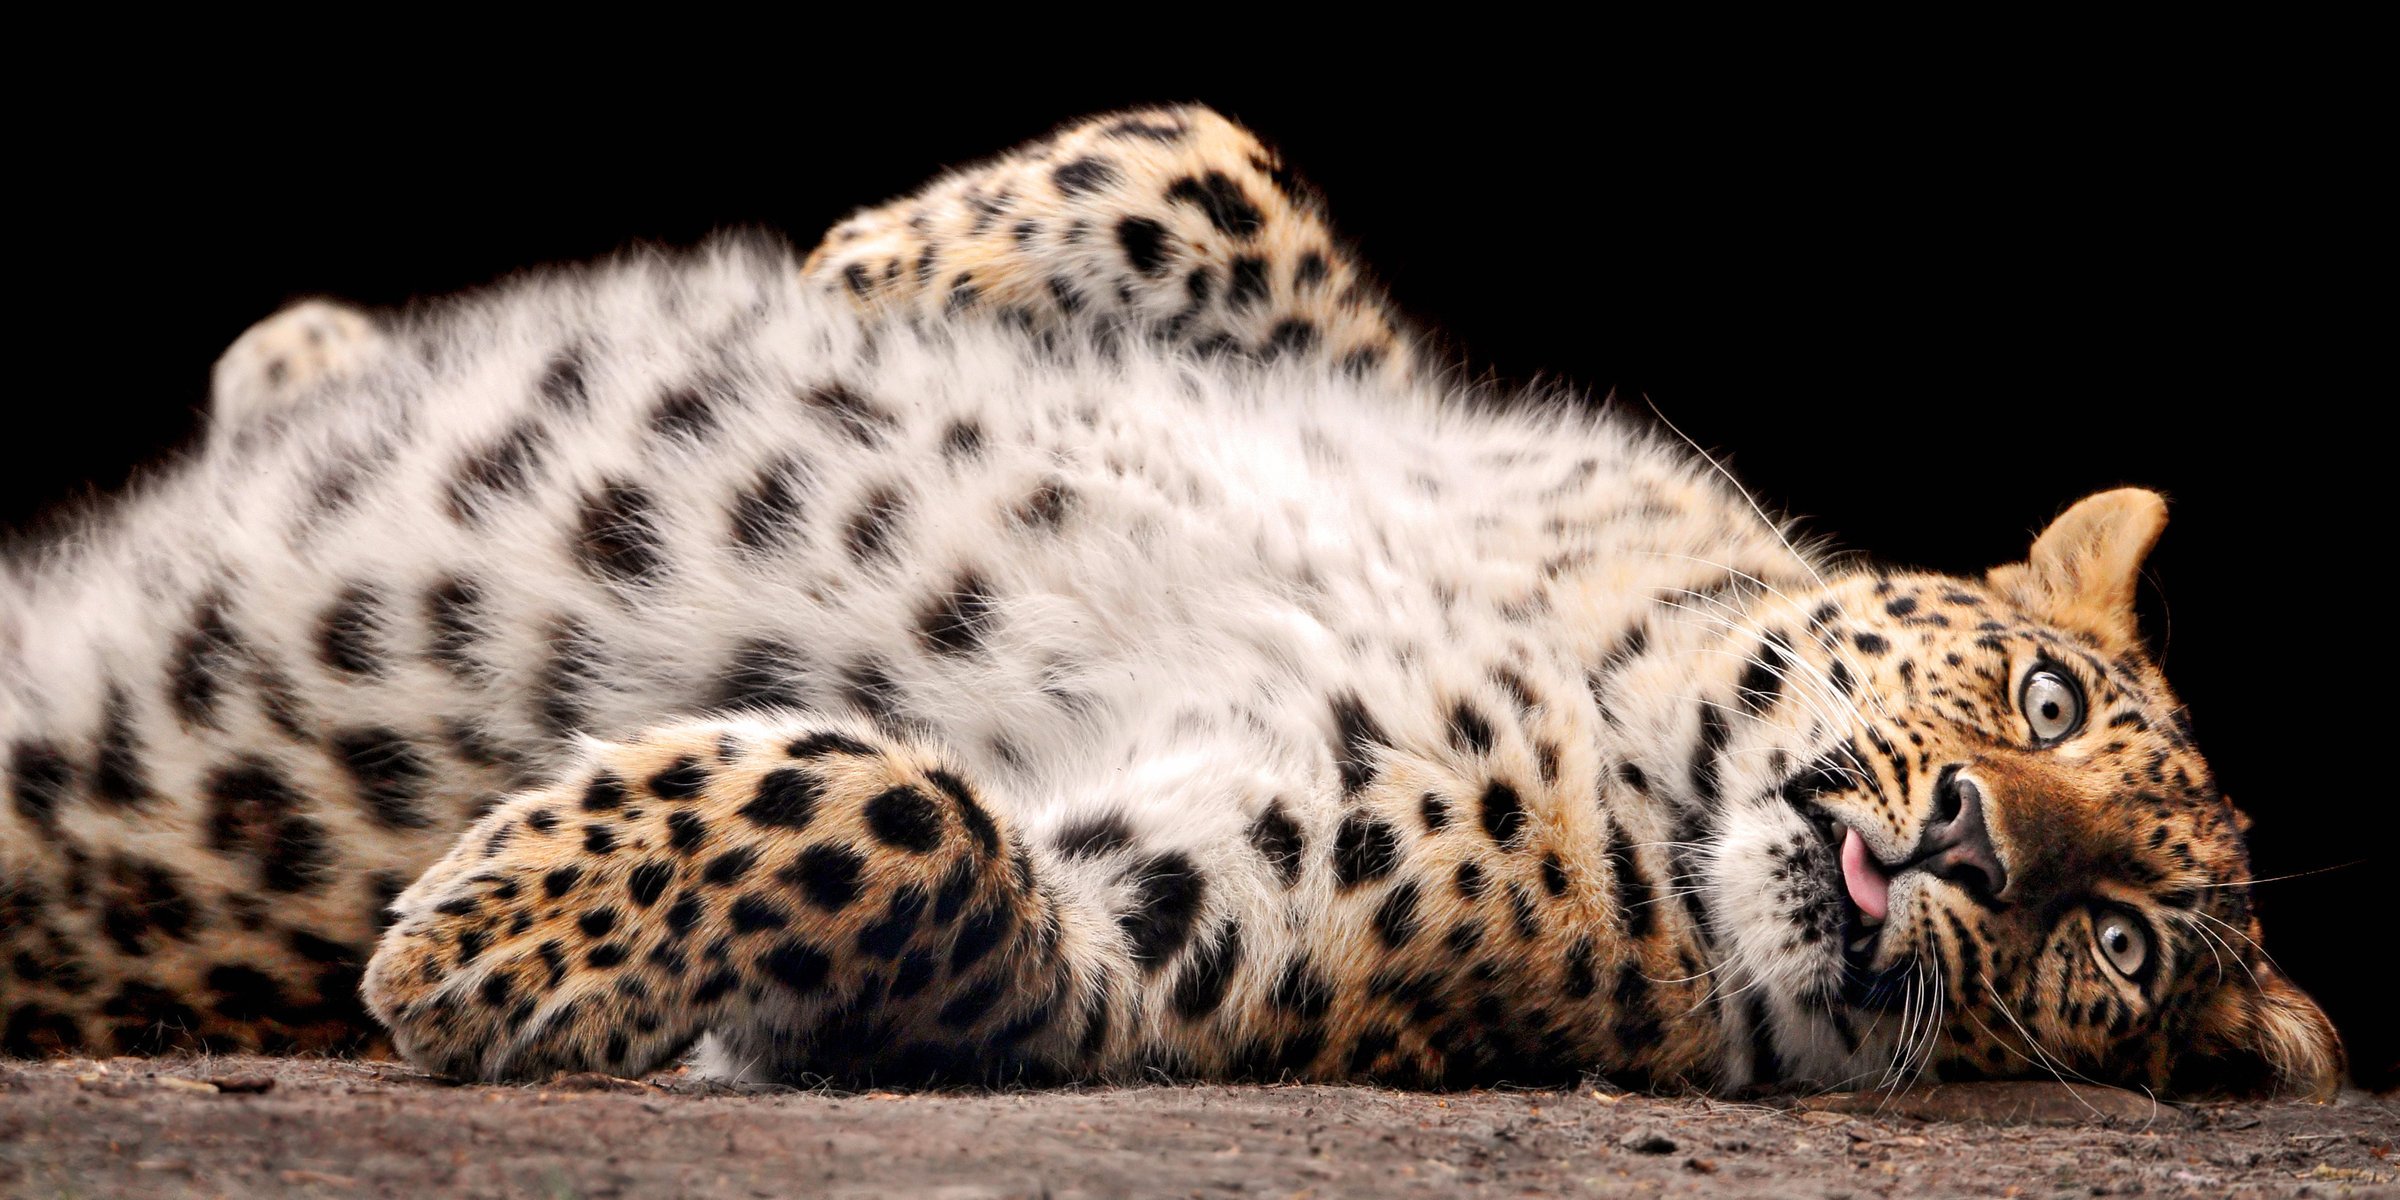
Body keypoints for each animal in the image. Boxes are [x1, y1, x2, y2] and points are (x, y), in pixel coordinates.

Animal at [0, 103, 2332, 1099]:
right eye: (2041, 700)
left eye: (2115, 948)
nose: (1971, 841)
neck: (1630, 701)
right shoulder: (1399, 390)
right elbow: (1218, 164)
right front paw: (879, 276)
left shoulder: (1177, 943)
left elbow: (916, 829)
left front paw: (506, 933)